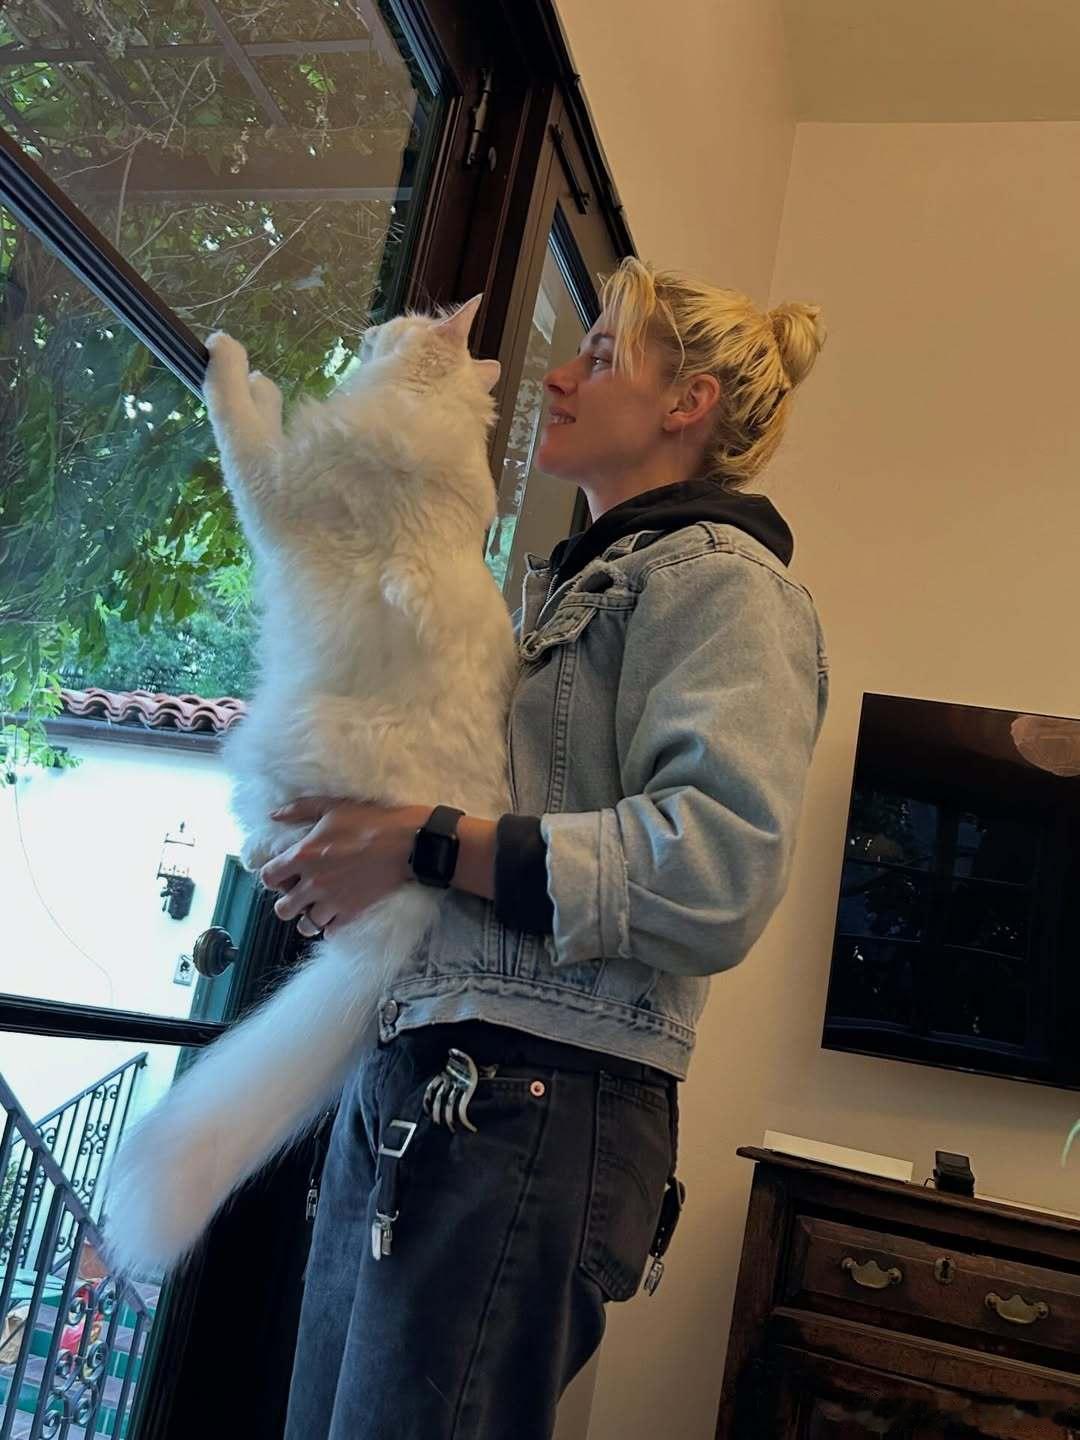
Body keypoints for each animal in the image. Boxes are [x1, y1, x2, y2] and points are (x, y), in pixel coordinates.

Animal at [101, 296, 516, 1275]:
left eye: (408, 323)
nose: (372, 329)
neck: (431, 426)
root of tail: (416, 902)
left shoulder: (278, 491)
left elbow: (238, 420)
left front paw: (238, 367)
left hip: (286, 748)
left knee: (272, 839)